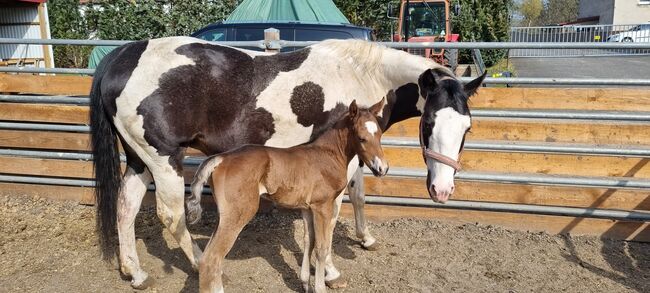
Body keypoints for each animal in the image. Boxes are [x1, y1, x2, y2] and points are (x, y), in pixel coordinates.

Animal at [190, 99, 388, 290]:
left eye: (379, 135)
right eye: (361, 138)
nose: (382, 168)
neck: (328, 155)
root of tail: (220, 158)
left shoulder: (307, 208)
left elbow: (309, 242)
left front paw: (306, 283)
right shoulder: (322, 207)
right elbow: (322, 248)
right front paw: (320, 287)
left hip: (224, 217)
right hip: (238, 214)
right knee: (211, 260)